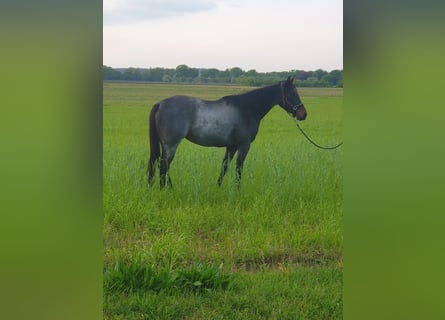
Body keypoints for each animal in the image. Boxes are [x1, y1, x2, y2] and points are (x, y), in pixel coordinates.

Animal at [147, 75, 306, 188]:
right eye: (292, 94)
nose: (303, 114)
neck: (247, 108)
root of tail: (160, 104)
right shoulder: (244, 145)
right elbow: (239, 168)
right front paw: (237, 189)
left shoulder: (231, 146)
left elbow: (224, 167)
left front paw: (218, 187)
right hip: (171, 145)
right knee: (164, 165)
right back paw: (164, 189)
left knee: (162, 165)